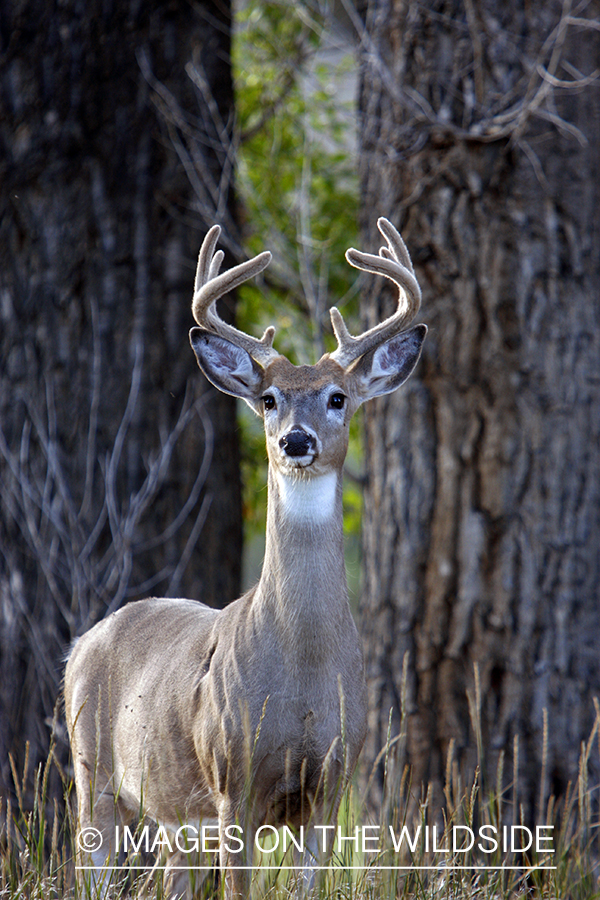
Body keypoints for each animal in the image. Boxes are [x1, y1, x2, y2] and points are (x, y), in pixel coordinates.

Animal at [65, 214, 426, 896]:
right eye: (269, 399)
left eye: (338, 396)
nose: (296, 440)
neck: (303, 673)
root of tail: (81, 643)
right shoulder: (234, 780)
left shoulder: (331, 785)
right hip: (92, 772)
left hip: (174, 820)